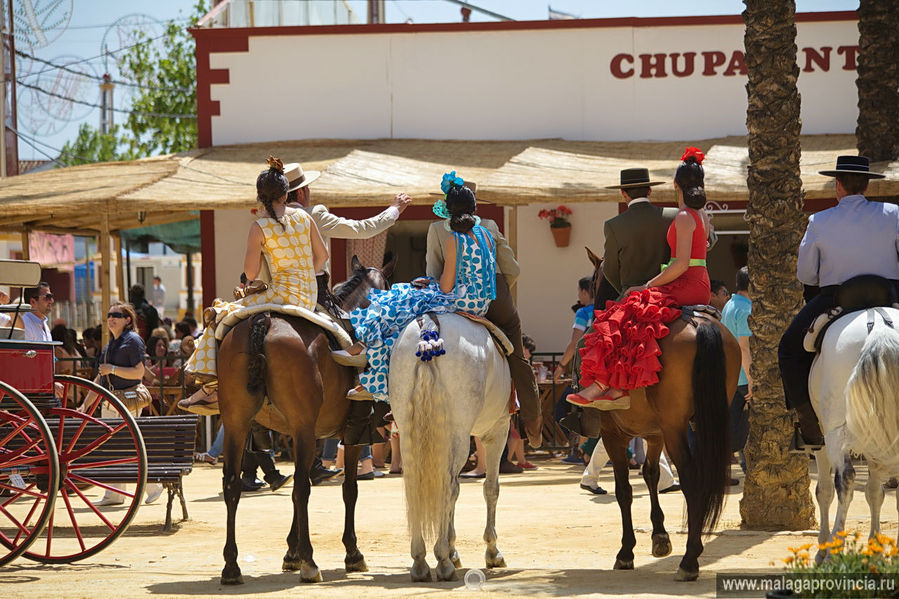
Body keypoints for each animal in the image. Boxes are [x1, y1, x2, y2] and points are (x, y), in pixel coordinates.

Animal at [217, 258, 390, 584]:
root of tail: (264, 321)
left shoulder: (304, 434)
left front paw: (291, 551)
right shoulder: (346, 435)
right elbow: (349, 490)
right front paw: (351, 553)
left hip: (236, 424)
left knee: (233, 484)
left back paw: (231, 566)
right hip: (302, 428)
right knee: (300, 488)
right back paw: (310, 562)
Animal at [388, 314, 510, 580]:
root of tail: (430, 329)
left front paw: (453, 549)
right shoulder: (498, 430)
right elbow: (491, 489)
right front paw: (492, 551)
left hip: (409, 429)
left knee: (416, 485)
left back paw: (420, 561)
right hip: (458, 433)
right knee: (448, 487)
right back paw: (442, 561)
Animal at [580, 248, 740, 580]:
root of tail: (699, 324)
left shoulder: (613, 433)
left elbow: (624, 490)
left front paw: (626, 551)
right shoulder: (655, 434)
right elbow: (650, 475)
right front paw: (660, 536)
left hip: (676, 428)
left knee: (691, 476)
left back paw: (689, 560)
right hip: (703, 421)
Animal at [808, 308, 899, 564]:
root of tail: (880, 326)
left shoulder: (821, 443)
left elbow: (824, 491)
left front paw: (823, 548)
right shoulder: (877, 444)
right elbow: (875, 493)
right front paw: (875, 549)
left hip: (835, 435)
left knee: (844, 481)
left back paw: (832, 553)